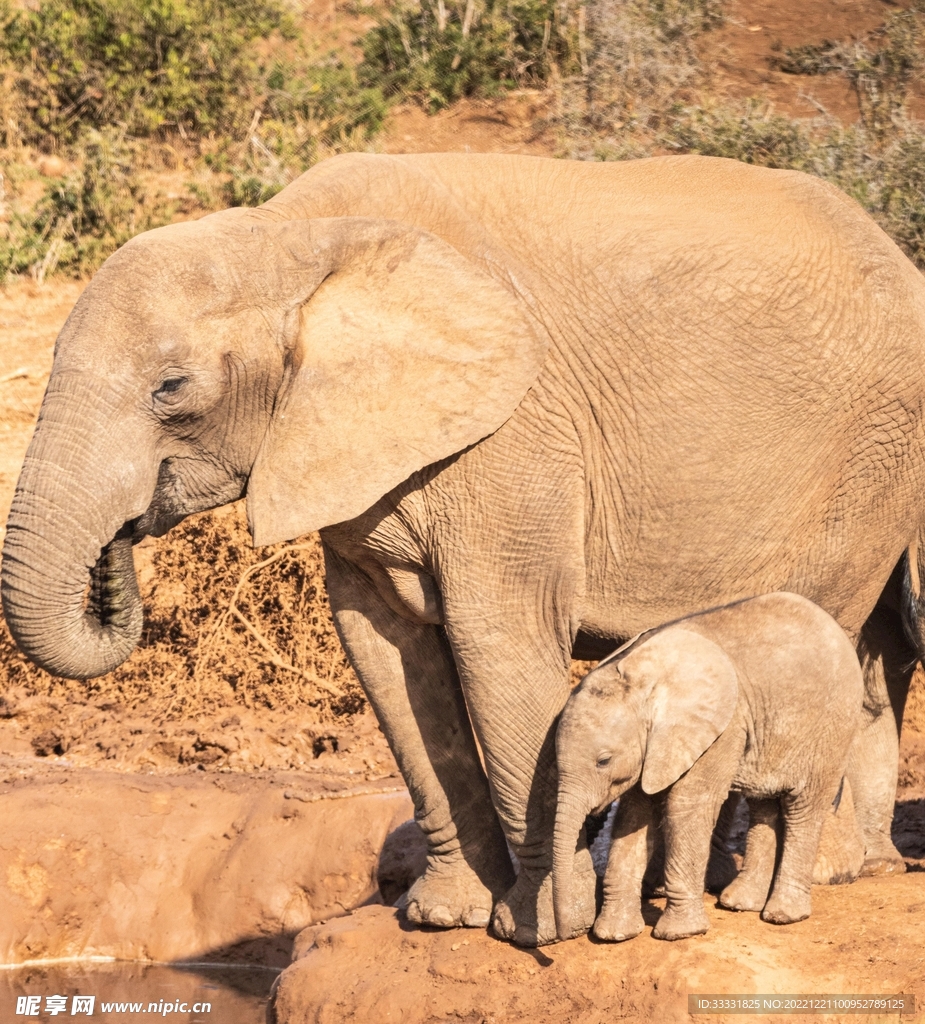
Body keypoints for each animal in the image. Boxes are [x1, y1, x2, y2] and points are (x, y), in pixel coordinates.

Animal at [551, 592, 863, 943]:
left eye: (603, 760)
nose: (565, 935)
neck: (644, 679)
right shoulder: (659, 747)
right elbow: (635, 813)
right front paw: (613, 935)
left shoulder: (722, 728)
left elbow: (686, 807)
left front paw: (678, 934)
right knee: (763, 805)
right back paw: (740, 903)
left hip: (833, 726)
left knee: (803, 807)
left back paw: (783, 915)